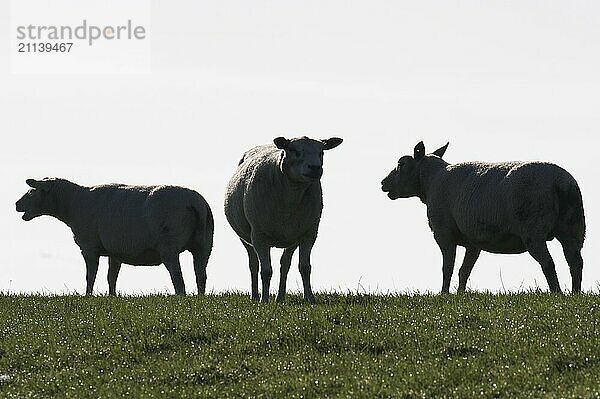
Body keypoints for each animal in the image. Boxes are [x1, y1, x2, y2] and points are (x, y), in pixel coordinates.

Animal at [15, 180, 213, 296]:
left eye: (32, 191)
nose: (16, 204)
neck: (72, 204)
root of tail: (195, 202)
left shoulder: (88, 248)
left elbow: (90, 275)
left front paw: (88, 296)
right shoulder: (115, 251)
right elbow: (111, 277)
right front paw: (112, 297)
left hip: (169, 246)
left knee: (178, 277)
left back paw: (180, 297)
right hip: (204, 245)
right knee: (201, 275)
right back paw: (200, 298)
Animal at [224, 136, 342, 304]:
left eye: (321, 152)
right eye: (294, 150)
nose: (315, 168)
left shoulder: (309, 233)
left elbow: (305, 267)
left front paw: (310, 299)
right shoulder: (259, 236)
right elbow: (266, 271)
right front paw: (264, 300)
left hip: (292, 237)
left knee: (284, 265)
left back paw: (280, 298)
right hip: (246, 238)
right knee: (253, 265)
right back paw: (255, 296)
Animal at [382, 141, 584, 294]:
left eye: (401, 164)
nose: (383, 183)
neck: (431, 181)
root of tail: (560, 182)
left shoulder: (444, 234)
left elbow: (447, 268)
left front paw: (444, 294)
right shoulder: (473, 241)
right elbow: (464, 271)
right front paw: (460, 294)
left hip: (533, 229)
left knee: (548, 263)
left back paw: (557, 294)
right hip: (574, 227)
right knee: (576, 262)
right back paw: (575, 294)